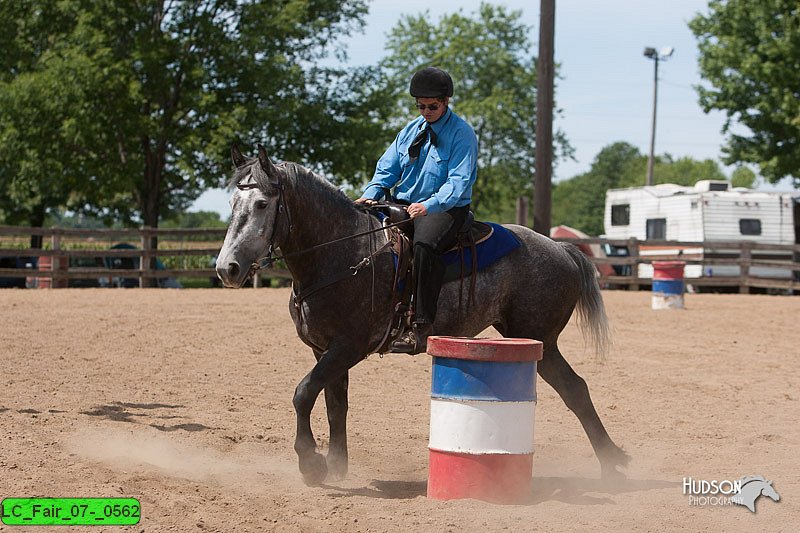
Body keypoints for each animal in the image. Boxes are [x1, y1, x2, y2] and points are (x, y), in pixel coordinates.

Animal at [216, 143, 628, 484]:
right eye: (233, 205)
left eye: (262, 204)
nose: (227, 268)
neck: (342, 255)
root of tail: (562, 250)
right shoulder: (324, 350)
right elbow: (335, 404)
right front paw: (336, 464)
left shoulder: (348, 347)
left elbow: (303, 393)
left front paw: (311, 464)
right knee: (575, 389)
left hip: (541, 340)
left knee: (576, 389)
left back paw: (612, 464)